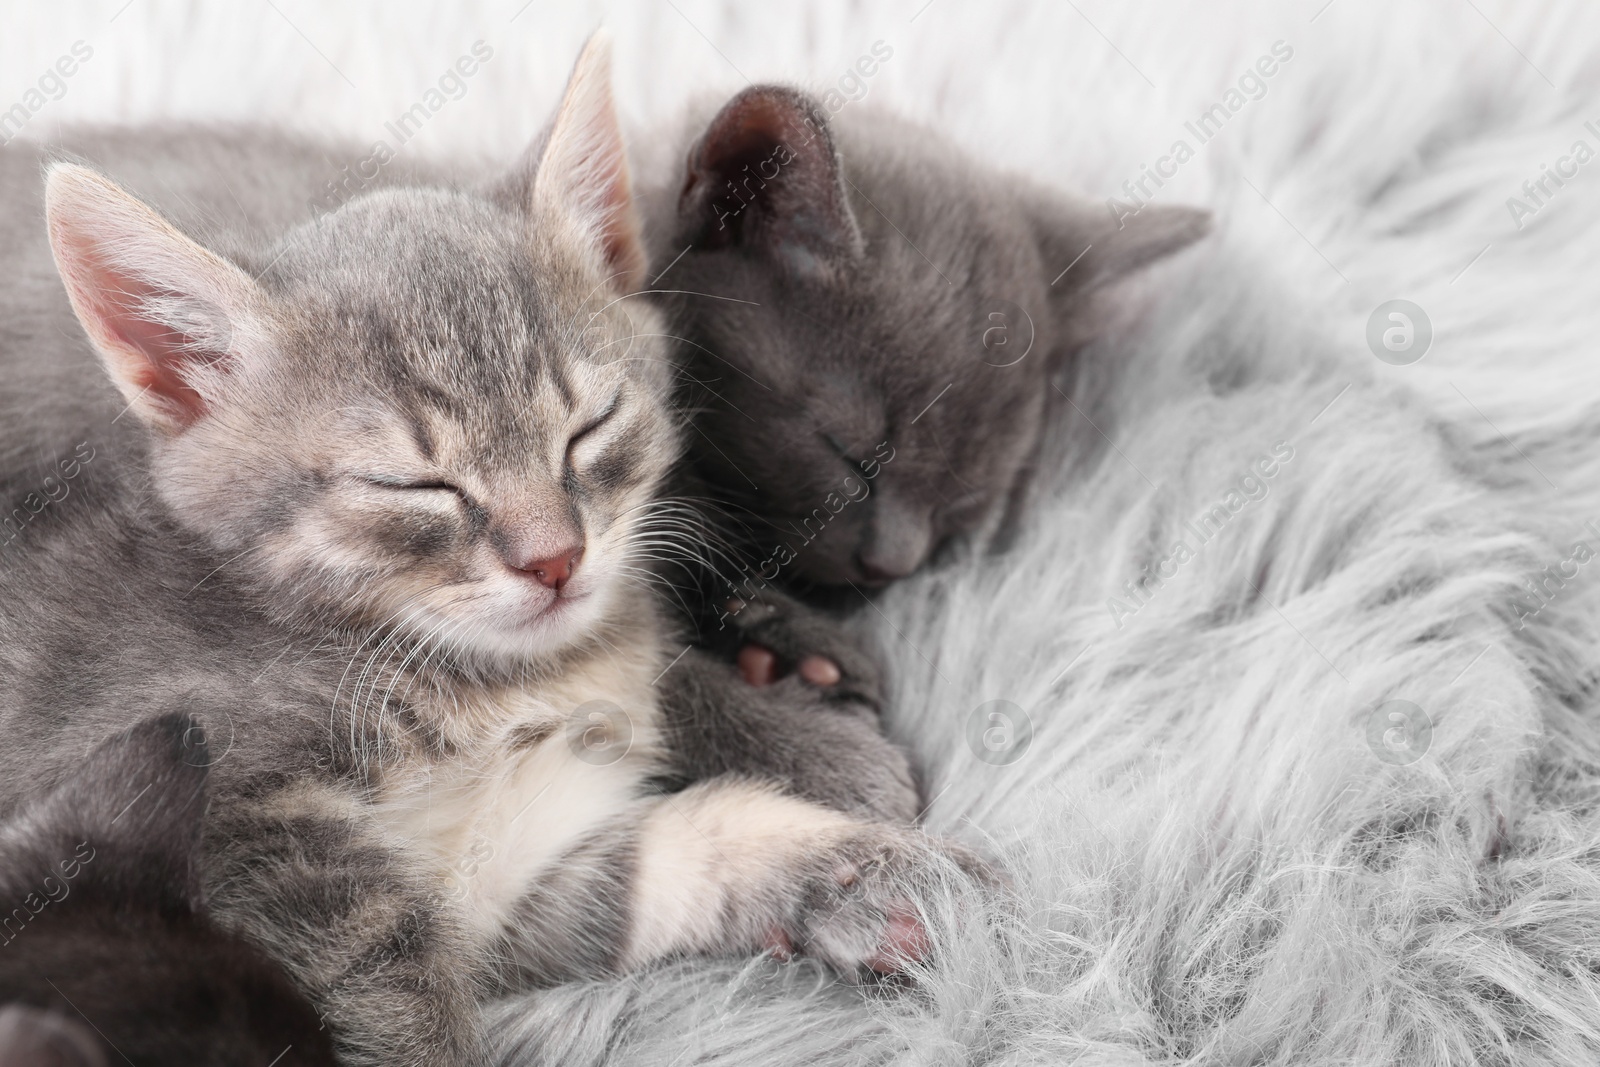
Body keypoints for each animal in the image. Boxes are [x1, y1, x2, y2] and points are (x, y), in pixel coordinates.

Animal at [0, 37, 972, 1062]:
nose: (554, 558)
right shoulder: (245, 832)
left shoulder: (512, 877)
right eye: (413, 484)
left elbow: (666, 850)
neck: (503, 686)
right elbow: (387, 1000)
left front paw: (867, 876)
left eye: (589, 427)